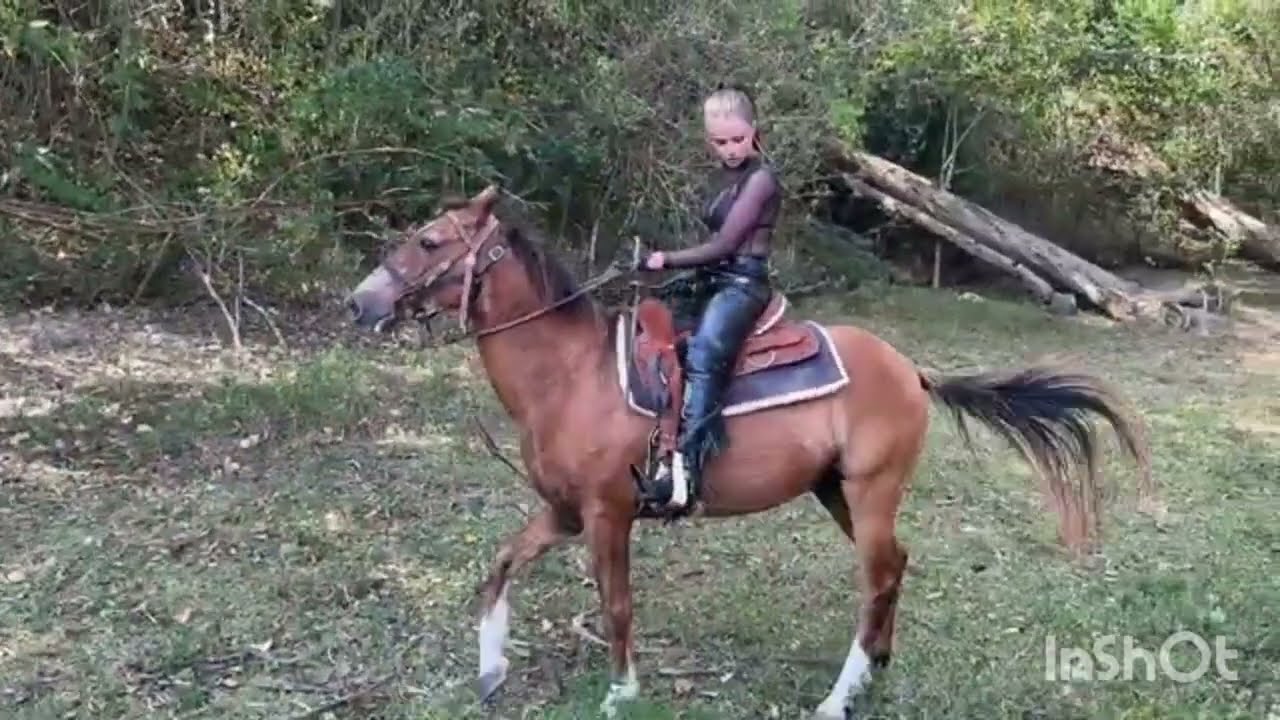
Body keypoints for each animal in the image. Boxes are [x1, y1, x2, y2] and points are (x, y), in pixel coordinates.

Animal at [345, 185, 1154, 719]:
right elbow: (500, 567)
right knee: (896, 568)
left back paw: (838, 697)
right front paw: (490, 670)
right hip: (836, 492)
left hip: (870, 490)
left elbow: (616, 605)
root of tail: (912, 371)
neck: (571, 376)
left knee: (877, 577)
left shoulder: (608, 515)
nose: (360, 302)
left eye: (429, 242)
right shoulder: (565, 512)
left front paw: (621, 691)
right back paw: (875, 671)